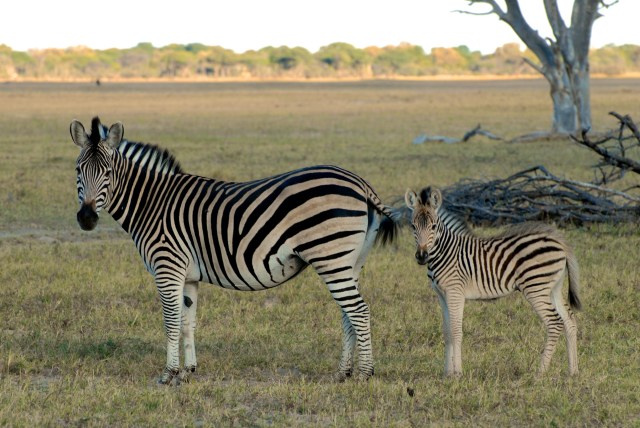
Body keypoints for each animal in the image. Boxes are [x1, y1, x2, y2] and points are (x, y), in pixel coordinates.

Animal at [70, 117, 399, 385]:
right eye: (78, 170)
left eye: (108, 172)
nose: (86, 218)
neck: (152, 203)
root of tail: (359, 182)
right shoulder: (188, 276)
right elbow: (188, 322)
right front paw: (188, 372)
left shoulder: (167, 267)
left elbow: (171, 320)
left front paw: (168, 374)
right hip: (349, 262)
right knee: (348, 313)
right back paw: (343, 372)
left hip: (331, 258)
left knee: (358, 310)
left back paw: (365, 374)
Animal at [404, 187, 581, 377]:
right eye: (413, 226)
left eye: (434, 226)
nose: (421, 256)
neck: (446, 252)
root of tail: (559, 241)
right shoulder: (441, 295)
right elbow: (447, 331)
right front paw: (447, 373)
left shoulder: (455, 292)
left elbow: (456, 331)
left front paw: (457, 373)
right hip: (553, 288)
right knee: (569, 320)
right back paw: (573, 371)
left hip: (536, 288)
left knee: (554, 322)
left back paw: (540, 373)